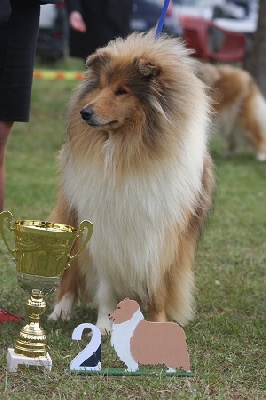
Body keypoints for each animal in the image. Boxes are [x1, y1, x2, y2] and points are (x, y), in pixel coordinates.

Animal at [48, 30, 214, 332]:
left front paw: (157, 324)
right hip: (72, 218)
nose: (85, 112)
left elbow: (157, 288)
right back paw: (60, 311)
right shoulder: (104, 229)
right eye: (101, 86)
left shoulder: (161, 236)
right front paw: (104, 325)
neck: (127, 149)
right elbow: (105, 285)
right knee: (70, 271)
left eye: (121, 91)